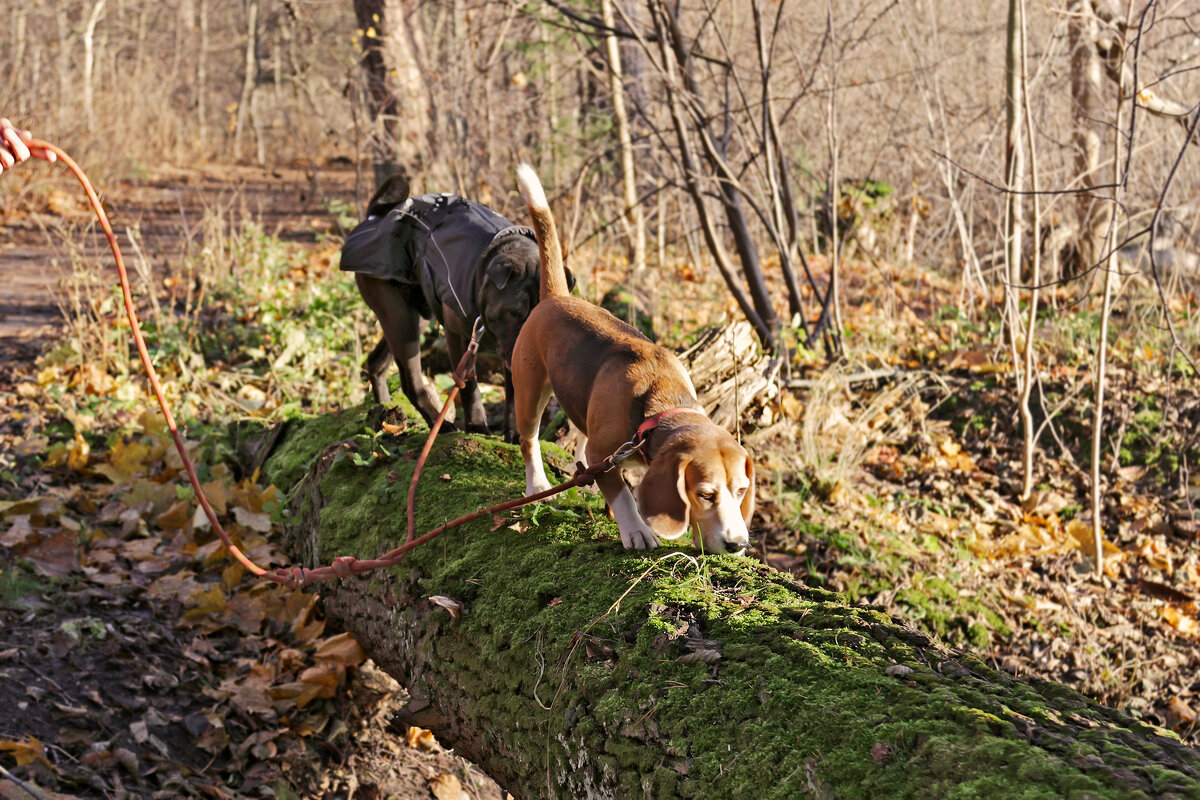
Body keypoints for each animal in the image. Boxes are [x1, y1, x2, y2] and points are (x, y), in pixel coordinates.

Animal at [340, 171, 568, 441]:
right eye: (513, 313)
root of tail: (375, 216)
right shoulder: (458, 338)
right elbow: (469, 387)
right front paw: (476, 425)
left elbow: (514, 396)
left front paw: (513, 433)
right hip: (401, 322)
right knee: (411, 382)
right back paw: (440, 425)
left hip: (411, 319)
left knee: (376, 363)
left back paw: (386, 411)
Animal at [511, 163, 753, 551]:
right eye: (706, 495)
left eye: (742, 490)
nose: (736, 544)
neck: (660, 408)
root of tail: (556, 297)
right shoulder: (604, 455)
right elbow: (622, 494)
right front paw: (636, 529)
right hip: (529, 392)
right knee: (529, 441)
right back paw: (538, 484)